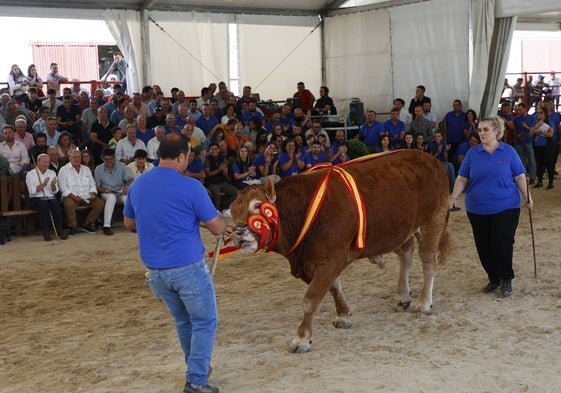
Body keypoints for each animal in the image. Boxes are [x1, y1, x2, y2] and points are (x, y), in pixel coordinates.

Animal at [228, 149, 450, 352]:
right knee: (406, 254)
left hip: (432, 221)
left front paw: (302, 338)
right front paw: (343, 315)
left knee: (428, 263)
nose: (237, 234)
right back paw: (403, 296)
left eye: (257, 204)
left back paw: (424, 303)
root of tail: (430, 159)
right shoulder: (318, 261)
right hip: (401, 229)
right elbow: (334, 288)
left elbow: (311, 299)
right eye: (232, 210)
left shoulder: (330, 259)